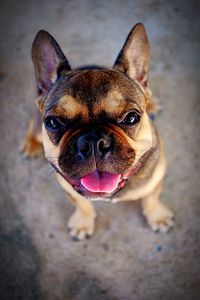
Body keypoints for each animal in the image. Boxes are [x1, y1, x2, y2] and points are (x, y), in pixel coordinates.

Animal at [21, 22, 174, 239]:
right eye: (53, 122)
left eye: (132, 117)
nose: (94, 142)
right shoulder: (70, 190)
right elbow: (82, 204)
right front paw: (82, 224)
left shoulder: (155, 179)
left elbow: (152, 199)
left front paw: (158, 217)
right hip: (35, 122)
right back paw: (30, 145)